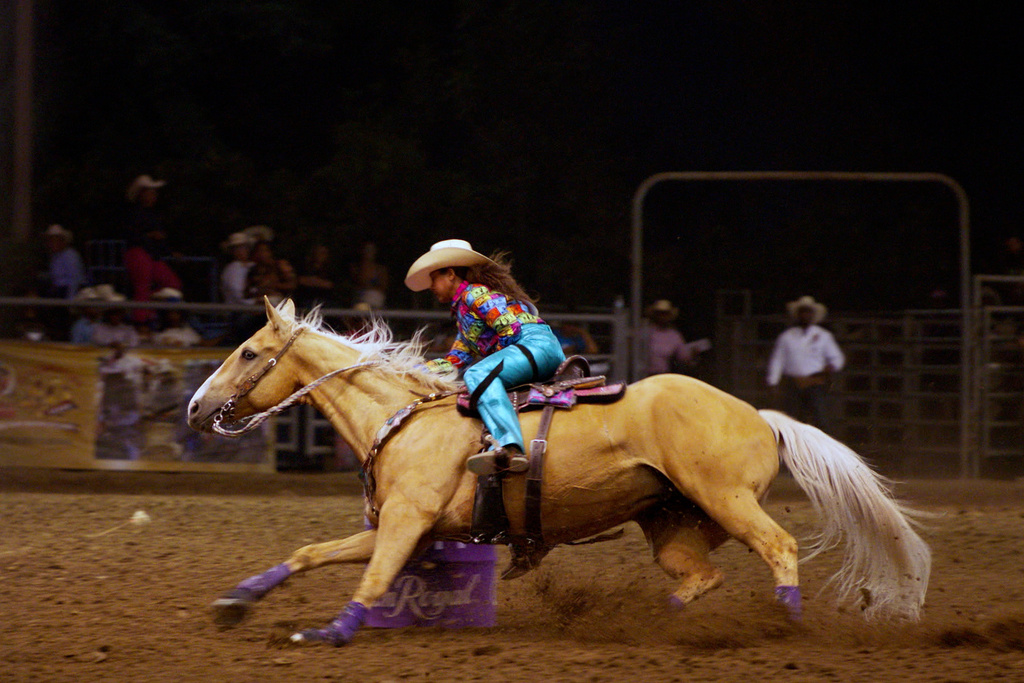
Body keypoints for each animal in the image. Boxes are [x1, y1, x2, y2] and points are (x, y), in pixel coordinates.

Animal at [187, 298, 931, 646]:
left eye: (247, 350)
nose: (195, 406)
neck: (404, 417)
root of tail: (760, 413)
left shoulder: (405, 522)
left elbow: (370, 579)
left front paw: (331, 632)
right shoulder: (406, 526)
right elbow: (310, 552)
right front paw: (235, 602)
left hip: (726, 500)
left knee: (778, 547)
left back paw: (784, 624)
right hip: (672, 522)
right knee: (698, 576)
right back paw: (651, 625)